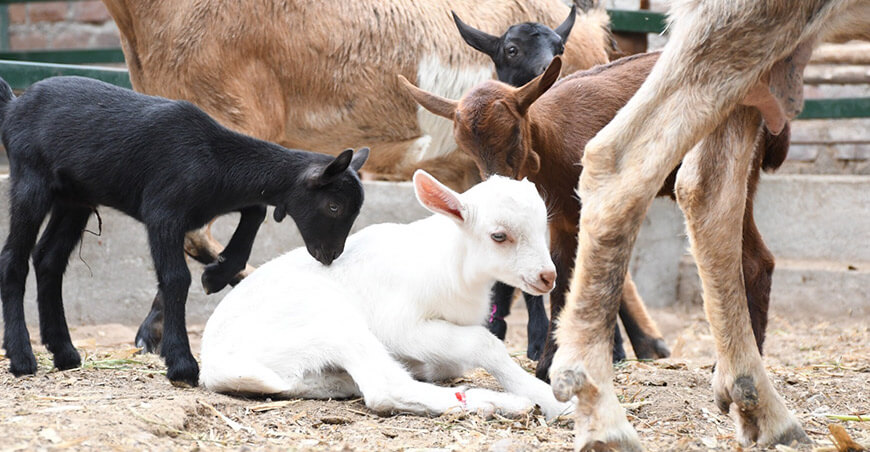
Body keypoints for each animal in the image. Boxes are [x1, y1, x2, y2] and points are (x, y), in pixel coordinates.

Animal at [0, 76, 368, 387]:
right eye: (334, 206)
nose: (331, 254)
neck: (214, 157)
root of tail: (13, 105)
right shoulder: (163, 212)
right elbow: (176, 278)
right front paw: (181, 364)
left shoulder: (212, 201)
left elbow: (256, 209)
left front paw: (218, 274)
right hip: (31, 179)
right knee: (13, 259)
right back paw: (22, 357)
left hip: (75, 198)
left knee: (48, 259)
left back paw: (64, 352)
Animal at [200, 170, 573, 419]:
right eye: (499, 235)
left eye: (543, 226)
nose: (547, 277)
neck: (453, 266)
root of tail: (215, 365)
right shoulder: (401, 324)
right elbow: (485, 344)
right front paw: (552, 399)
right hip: (330, 321)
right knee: (384, 389)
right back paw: (502, 403)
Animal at [401, 51, 790, 381]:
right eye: (466, 146)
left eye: (514, 134)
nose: (499, 186)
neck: (552, 146)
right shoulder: (560, 217)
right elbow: (559, 278)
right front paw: (547, 365)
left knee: (753, 260)